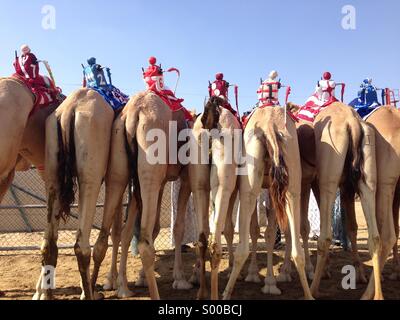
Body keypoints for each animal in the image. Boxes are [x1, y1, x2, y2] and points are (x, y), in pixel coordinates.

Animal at [32, 88, 115, 300]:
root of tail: (69, 110)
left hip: (52, 172)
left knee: (49, 244)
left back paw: (48, 295)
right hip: (90, 175)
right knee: (81, 247)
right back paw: (89, 295)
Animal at [91, 90, 197, 300]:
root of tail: (135, 112)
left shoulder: (161, 182)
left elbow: (153, 228)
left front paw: (138, 278)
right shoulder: (186, 178)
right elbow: (178, 228)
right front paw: (180, 279)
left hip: (119, 171)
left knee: (106, 237)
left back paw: (104, 289)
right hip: (149, 163)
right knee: (143, 242)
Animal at [223, 106, 314, 302]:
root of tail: (270, 126)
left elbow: (262, 232)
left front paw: (263, 279)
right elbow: (268, 233)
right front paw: (268, 282)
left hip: (251, 184)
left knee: (243, 246)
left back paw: (225, 293)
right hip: (291, 177)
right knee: (297, 249)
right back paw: (308, 294)